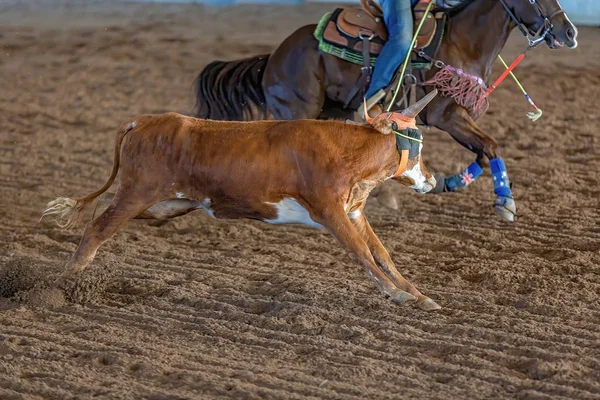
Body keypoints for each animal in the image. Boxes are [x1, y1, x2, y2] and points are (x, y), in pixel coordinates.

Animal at [41, 90, 436, 310]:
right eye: (417, 143)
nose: (431, 180)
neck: (346, 152)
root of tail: (142, 121)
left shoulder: (353, 212)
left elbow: (381, 253)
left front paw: (418, 295)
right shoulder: (329, 212)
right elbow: (362, 253)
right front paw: (396, 295)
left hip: (163, 205)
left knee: (99, 216)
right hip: (136, 193)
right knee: (97, 229)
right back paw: (60, 285)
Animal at [193, 0, 576, 222]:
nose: (570, 32)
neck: (462, 41)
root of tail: (273, 57)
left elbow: (483, 151)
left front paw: (449, 182)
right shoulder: (446, 115)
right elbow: (492, 146)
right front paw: (505, 202)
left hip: (332, 111)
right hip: (298, 108)